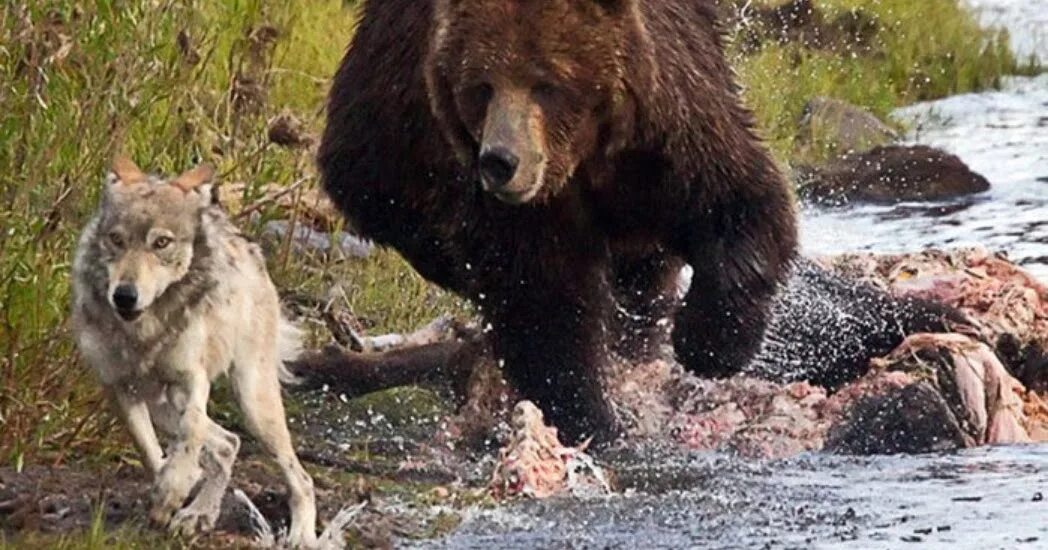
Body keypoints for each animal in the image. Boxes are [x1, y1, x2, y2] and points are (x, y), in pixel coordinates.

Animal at [70, 156, 316, 544]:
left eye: (161, 243)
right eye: (116, 240)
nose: (124, 295)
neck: (145, 330)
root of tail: (248, 245)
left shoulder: (193, 379)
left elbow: (191, 433)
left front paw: (173, 488)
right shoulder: (120, 389)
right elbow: (147, 450)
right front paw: (168, 494)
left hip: (253, 402)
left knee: (300, 477)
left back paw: (301, 534)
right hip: (162, 404)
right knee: (229, 443)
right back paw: (200, 513)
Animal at [316, 0, 959, 442]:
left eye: (546, 83)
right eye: (481, 86)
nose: (501, 161)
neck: (585, 156)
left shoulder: (672, 126)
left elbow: (742, 206)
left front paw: (706, 344)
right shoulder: (509, 201)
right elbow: (540, 297)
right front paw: (591, 412)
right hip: (382, 124)